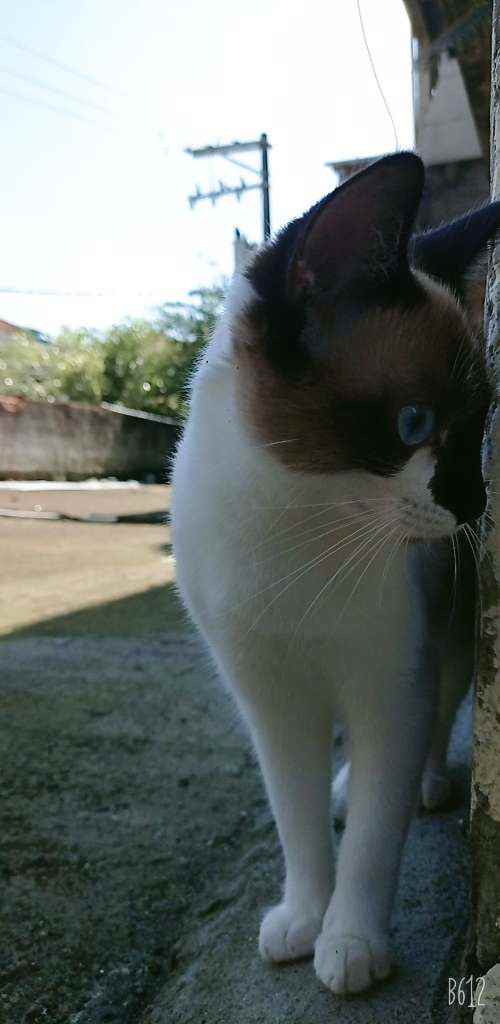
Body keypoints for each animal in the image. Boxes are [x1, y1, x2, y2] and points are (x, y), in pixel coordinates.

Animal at [171, 153, 499, 995]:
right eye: (415, 425)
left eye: (478, 426)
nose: (474, 503)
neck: (298, 535)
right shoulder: (271, 701)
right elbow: (298, 821)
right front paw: (304, 916)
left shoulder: (391, 686)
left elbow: (375, 843)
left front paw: (350, 941)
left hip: (444, 644)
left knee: (434, 723)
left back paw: (426, 785)